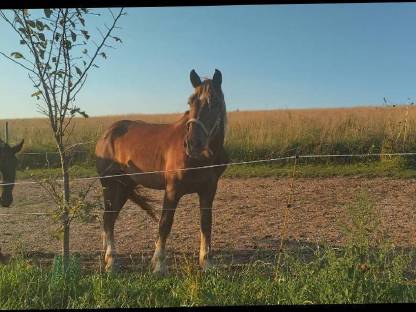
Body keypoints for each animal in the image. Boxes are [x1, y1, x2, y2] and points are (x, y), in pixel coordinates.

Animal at [95, 69, 228, 272]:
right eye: (190, 102)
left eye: (215, 102)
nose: (192, 144)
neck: (201, 159)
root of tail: (106, 134)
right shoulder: (172, 190)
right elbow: (165, 223)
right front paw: (158, 264)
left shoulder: (208, 190)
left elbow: (206, 223)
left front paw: (206, 262)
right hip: (110, 185)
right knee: (108, 219)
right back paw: (111, 261)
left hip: (124, 187)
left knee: (110, 219)